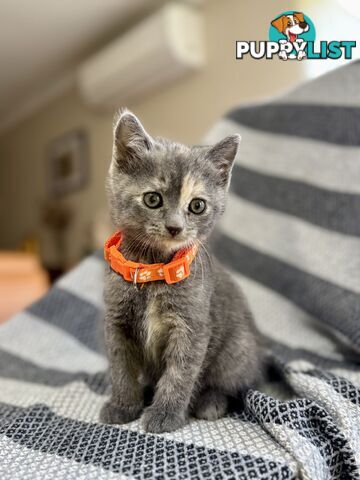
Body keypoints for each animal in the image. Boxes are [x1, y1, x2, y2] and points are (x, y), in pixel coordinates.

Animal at [100, 110, 262, 434]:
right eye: (153, 199)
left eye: (197, 205)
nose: (175, 227)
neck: (153, 271)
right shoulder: (116, 322)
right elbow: (121, 367)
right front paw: (123, 406)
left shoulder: (192, 327)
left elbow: (180, 373)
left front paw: (165, 415)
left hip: (237, 348)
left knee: (233, 383)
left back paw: (211, 402)